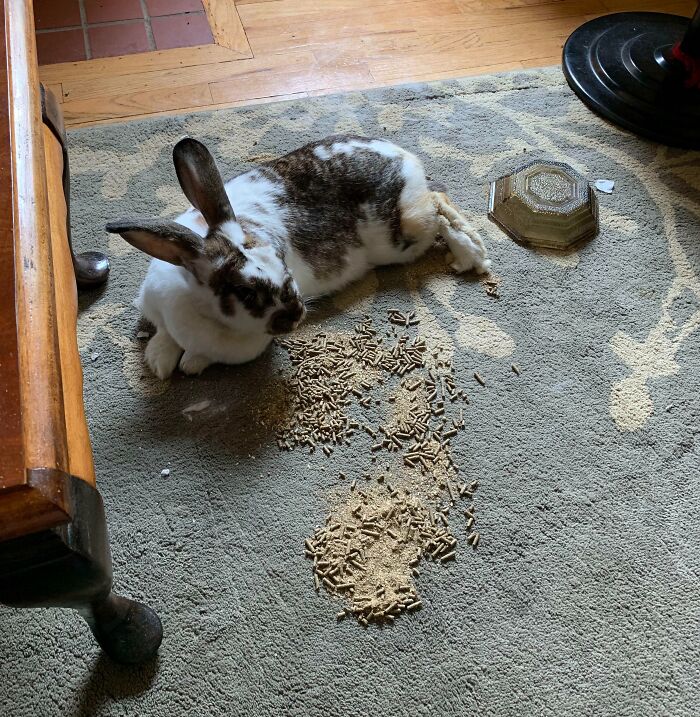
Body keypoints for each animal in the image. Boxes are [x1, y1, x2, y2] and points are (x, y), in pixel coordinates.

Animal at [106, 134, 491, 379]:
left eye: (282, 262)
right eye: (246, 293)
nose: (297, 313)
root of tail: (403, 156)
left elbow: (199, 357)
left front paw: (188, 364)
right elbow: (163, 333)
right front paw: (159, 360)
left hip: (404, 234)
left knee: (439, 204)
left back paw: (470, 255)